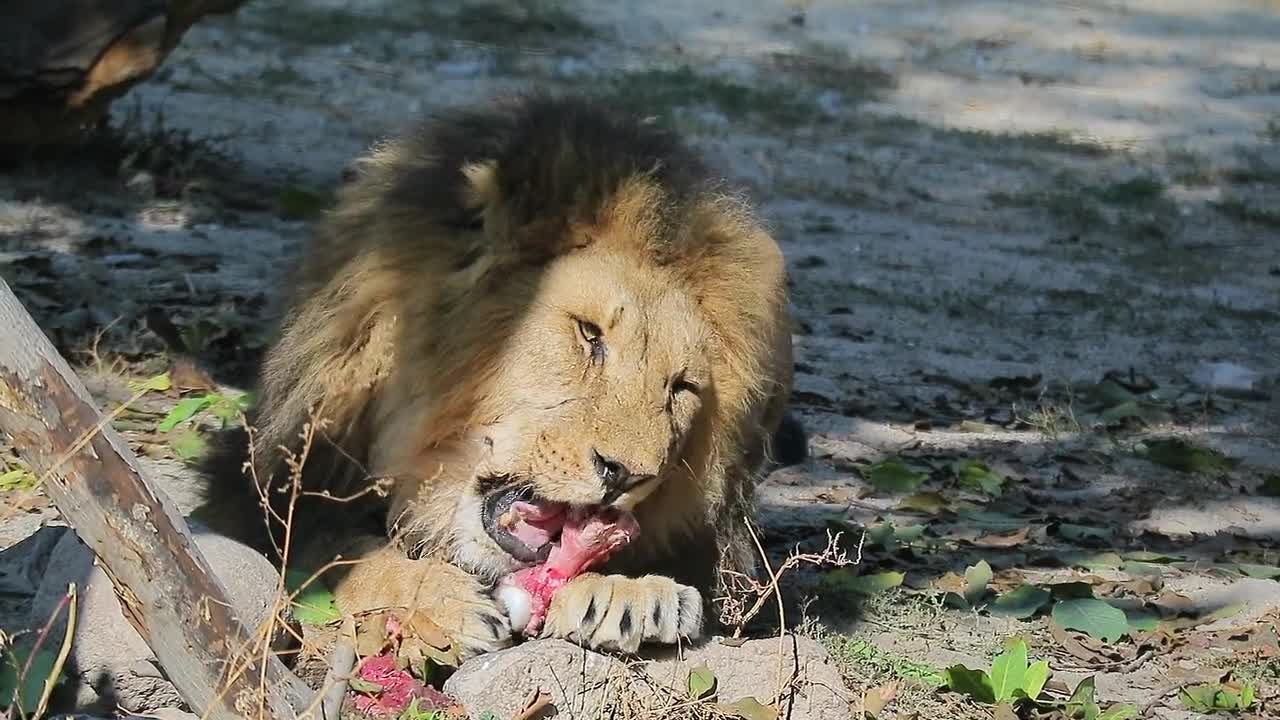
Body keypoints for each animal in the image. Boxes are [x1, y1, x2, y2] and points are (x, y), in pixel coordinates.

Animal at [190, 92, 803, 661]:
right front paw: (435, 600)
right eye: (589, 335)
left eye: (681, 387)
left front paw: (628, 594)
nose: (628, 475)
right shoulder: (259, 485)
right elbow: (334, 553)